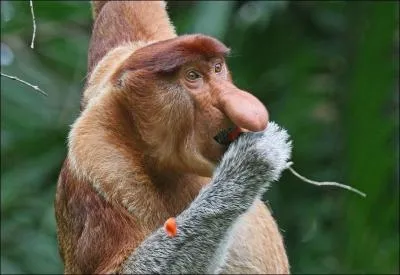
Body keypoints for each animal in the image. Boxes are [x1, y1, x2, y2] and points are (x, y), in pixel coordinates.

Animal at [55, 1, 290, 274]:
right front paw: (250, 163)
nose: (250, 108)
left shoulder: (115, 64)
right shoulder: (96, 165)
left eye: (217, 68)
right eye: (193, 76)